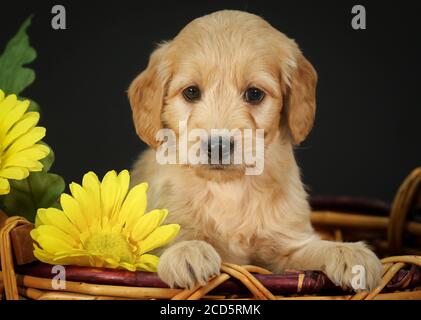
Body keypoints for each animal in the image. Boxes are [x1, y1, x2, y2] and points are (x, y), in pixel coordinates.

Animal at [126, 10, 382, 292]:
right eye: (191, 92)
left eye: (254, 94)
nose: (217, 145)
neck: (229, 188)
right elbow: (168, 240)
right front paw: (187, 251)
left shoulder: (286, 246)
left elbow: (312, 248)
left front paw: (348, 252)